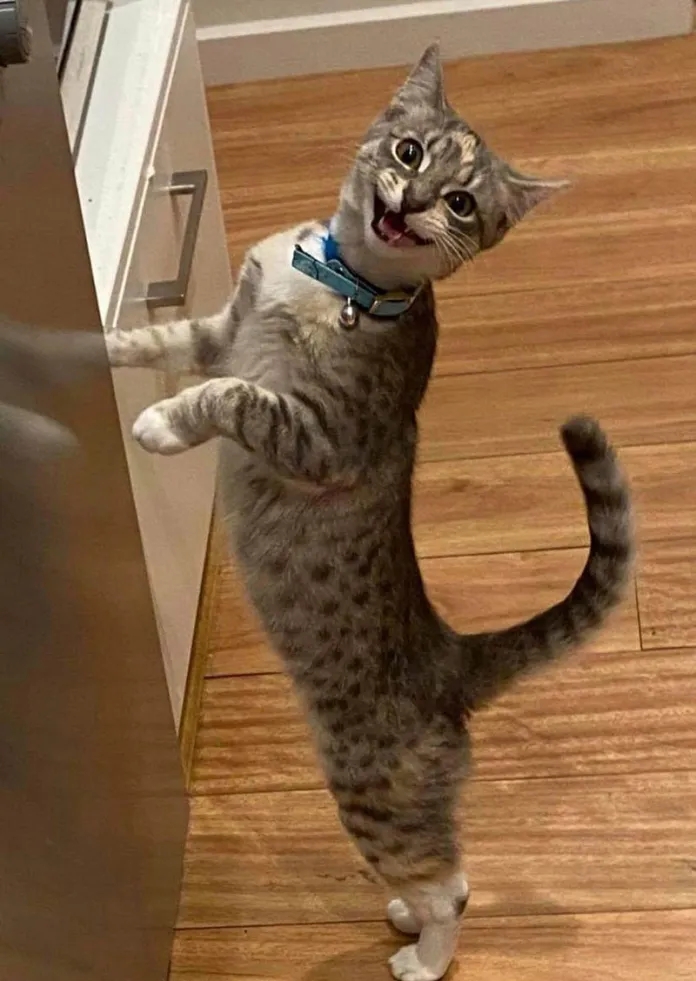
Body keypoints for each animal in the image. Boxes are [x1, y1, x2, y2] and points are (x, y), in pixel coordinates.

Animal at [106, 45, 634, 981]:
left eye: (462, 203)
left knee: (449, 883)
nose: (413, 200)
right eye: (411, 151)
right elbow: (161, 343)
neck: (335, 278)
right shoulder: (221, 327)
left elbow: (231, 395)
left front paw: (162, 424)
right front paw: (92, 343)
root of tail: (451, 656)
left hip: (366, 787)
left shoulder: (322, 433)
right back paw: (401, 918)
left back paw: (424, 954)